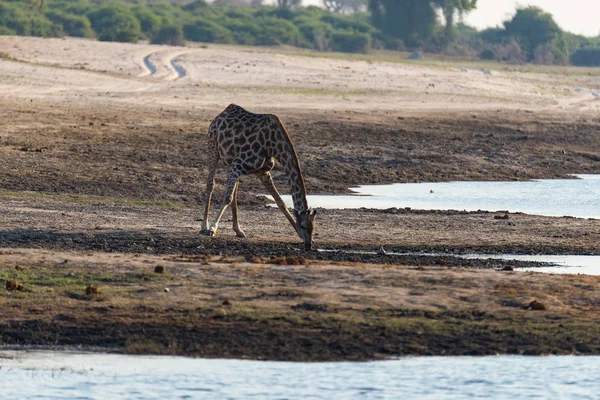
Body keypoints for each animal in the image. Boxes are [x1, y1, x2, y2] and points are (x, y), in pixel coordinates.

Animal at [199, 103, 316, 250]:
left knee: (234, 193)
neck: (274, 145)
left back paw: (238, 230)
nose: (308, 245)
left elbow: (280, 202)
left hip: (231, 161)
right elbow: (227, 198)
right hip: (213, 147)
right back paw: (204, 225)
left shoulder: (262, 172)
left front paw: (299, 234)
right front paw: (212, 228)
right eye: (303, 225)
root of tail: (220, 115)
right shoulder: (238, 166)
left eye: (313, 227)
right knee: (211, 184)